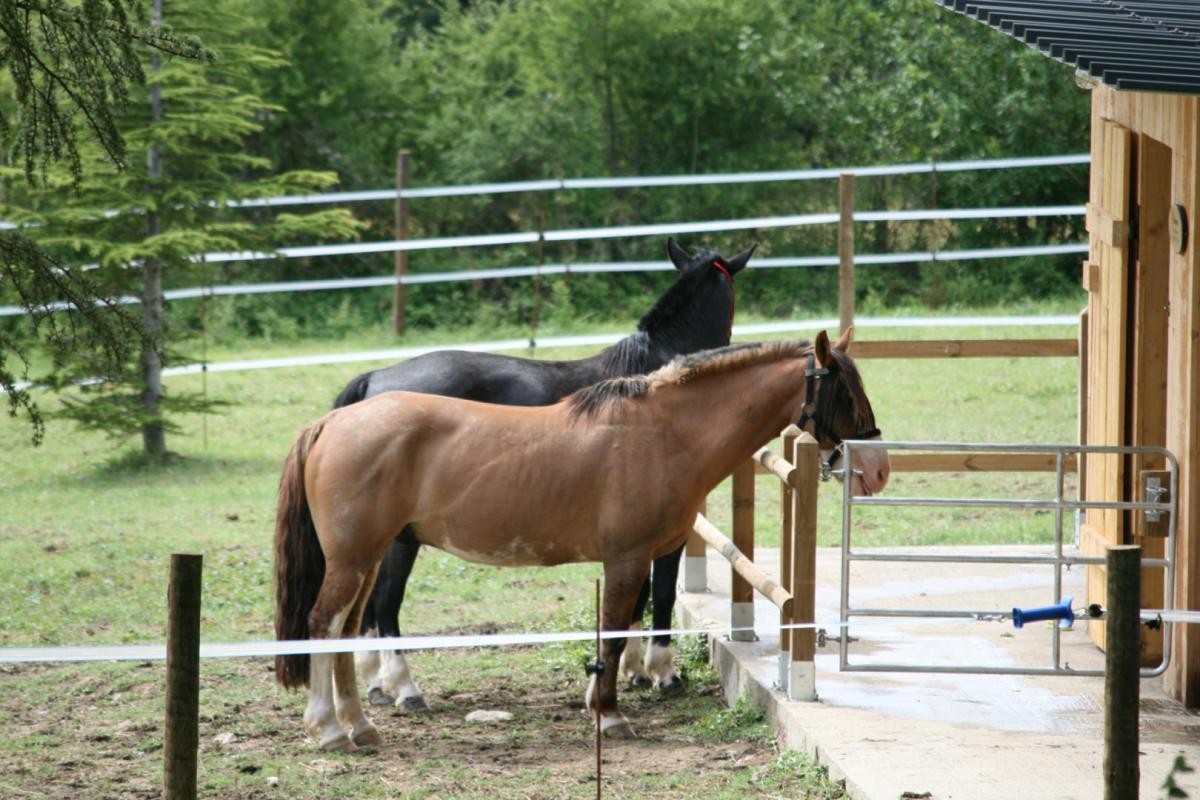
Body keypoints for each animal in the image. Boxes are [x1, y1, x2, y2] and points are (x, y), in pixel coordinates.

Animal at [274, 328, 892, 753]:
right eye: (843, 391)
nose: (879, 469)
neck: (662, 433)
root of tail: (333, 424)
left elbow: (623, 631)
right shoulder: (628, 558)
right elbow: (616, 635)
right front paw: (611, 714)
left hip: (368, 555)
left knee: (347, 631)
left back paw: (360, 725)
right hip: (357, 557)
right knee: (323, 624)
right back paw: (330, 729)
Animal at [333, 237, 753, 714]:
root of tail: (376, 379)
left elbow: (635, 598)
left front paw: (631, 670)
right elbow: (659, 593)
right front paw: (663, 672)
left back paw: (375, 683)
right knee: (386, 603)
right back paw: (405, 689)